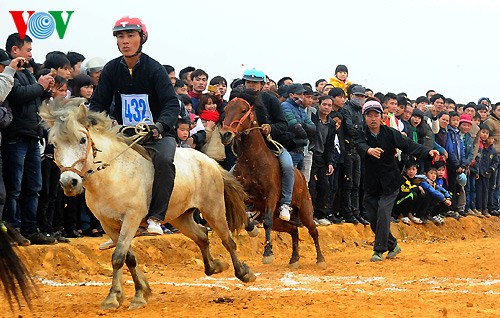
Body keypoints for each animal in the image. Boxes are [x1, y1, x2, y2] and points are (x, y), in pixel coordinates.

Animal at [40, 99, 256, 308]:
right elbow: (128, 257)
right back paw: (214, 266)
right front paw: (139, 293)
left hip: (213, 209)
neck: (113, 174)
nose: (69, 182)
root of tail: (210, 161)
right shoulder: (107, 224)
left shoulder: (131, 218)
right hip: (180, 217)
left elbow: (118, 257)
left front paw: (113, 297)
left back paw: (244, 273)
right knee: (202, 235)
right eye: (54, 144)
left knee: (228, 240)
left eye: (83, 140)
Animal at [222, 95, 324, 268]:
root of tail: (302, 177)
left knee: (313, 231)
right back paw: (294, 259)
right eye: (226, 109)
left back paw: (320, 259)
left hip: (305, 211)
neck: (252, 160)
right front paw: (252, 229)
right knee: (293, 230)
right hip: (280, 221)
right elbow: (246, 218)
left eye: (243, 110)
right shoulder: (244, 195)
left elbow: (267, 223)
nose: (225, 134)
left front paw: (268, 253)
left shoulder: (271, 194)